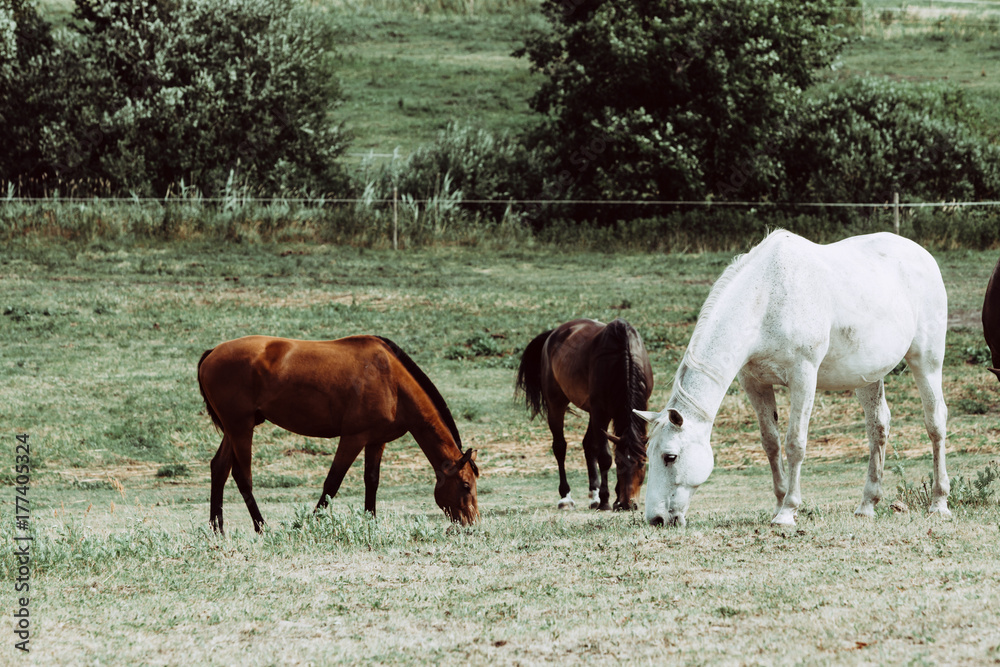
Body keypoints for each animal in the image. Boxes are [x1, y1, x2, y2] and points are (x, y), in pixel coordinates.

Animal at [197, 335, 479, 534]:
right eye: (465, 486)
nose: (472, 523)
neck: (392, 381)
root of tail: (212, 353)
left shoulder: (376, 441)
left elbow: (371, 481)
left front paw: (370, 521)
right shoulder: (353, 438)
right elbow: (332, 483)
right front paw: (308, 523)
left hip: (234, 429)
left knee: (219, 469)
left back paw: (217, 529)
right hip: (241, 427)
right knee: (242, 476)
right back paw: (261, 527)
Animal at [515, 318, 654, 511]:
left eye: (642, 463)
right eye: (619, 464)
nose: (628, 503)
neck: (623, 356)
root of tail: (553, 333)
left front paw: (613, 498)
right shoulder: (600, 412)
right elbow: (605, 457)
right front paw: (606, 500)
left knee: (588, 445)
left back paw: (593, 497)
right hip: (557, 403)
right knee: (560, 447)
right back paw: (566, 498)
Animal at [636, 230, 950, 527]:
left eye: (670, 457)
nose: (656, 519)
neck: (766, 298)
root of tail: (923, 255)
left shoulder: (803, 376)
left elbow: (795, 443)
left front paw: (787, 512)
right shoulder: (755, 382)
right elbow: (771, 443)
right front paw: (778, 503)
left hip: (927, 360)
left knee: (935, 422)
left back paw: (939, 503)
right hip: (867, 376)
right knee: (878, 427)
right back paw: (867, 505)